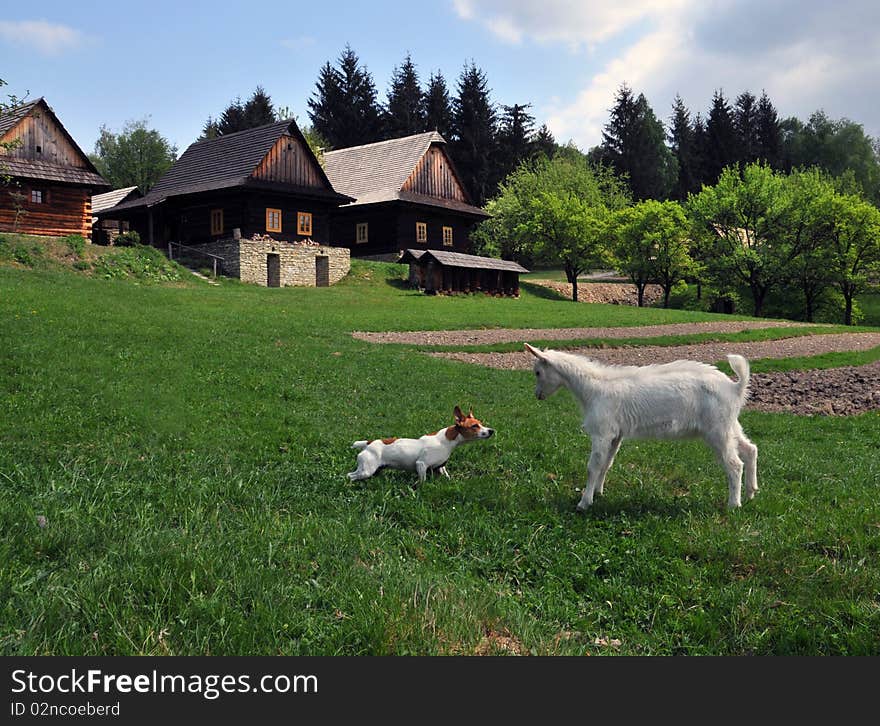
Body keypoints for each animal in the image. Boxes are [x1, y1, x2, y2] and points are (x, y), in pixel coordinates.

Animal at [346, 406, 496, 486]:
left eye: (481, 423)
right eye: (474, 426)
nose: (491, 431)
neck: (446, 441)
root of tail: (368, 443)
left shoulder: (440, 467)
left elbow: (446, 475)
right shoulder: (421, 464)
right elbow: (422, 481)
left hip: (373, 469)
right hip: (367, 470)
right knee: (350, 476)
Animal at [524, 346, 756, 512]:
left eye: (538, 372)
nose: (537, 395)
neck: (593, 389)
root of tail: (735, 388)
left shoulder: (601, 432)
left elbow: (593, 466)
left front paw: (584, 502)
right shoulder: (615, 434)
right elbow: (606, 464)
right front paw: (599, 492)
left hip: (718, 430)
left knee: (734, 464)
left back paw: (733, 504)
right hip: (730, 425)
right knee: (750, 449)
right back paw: (751, 492)